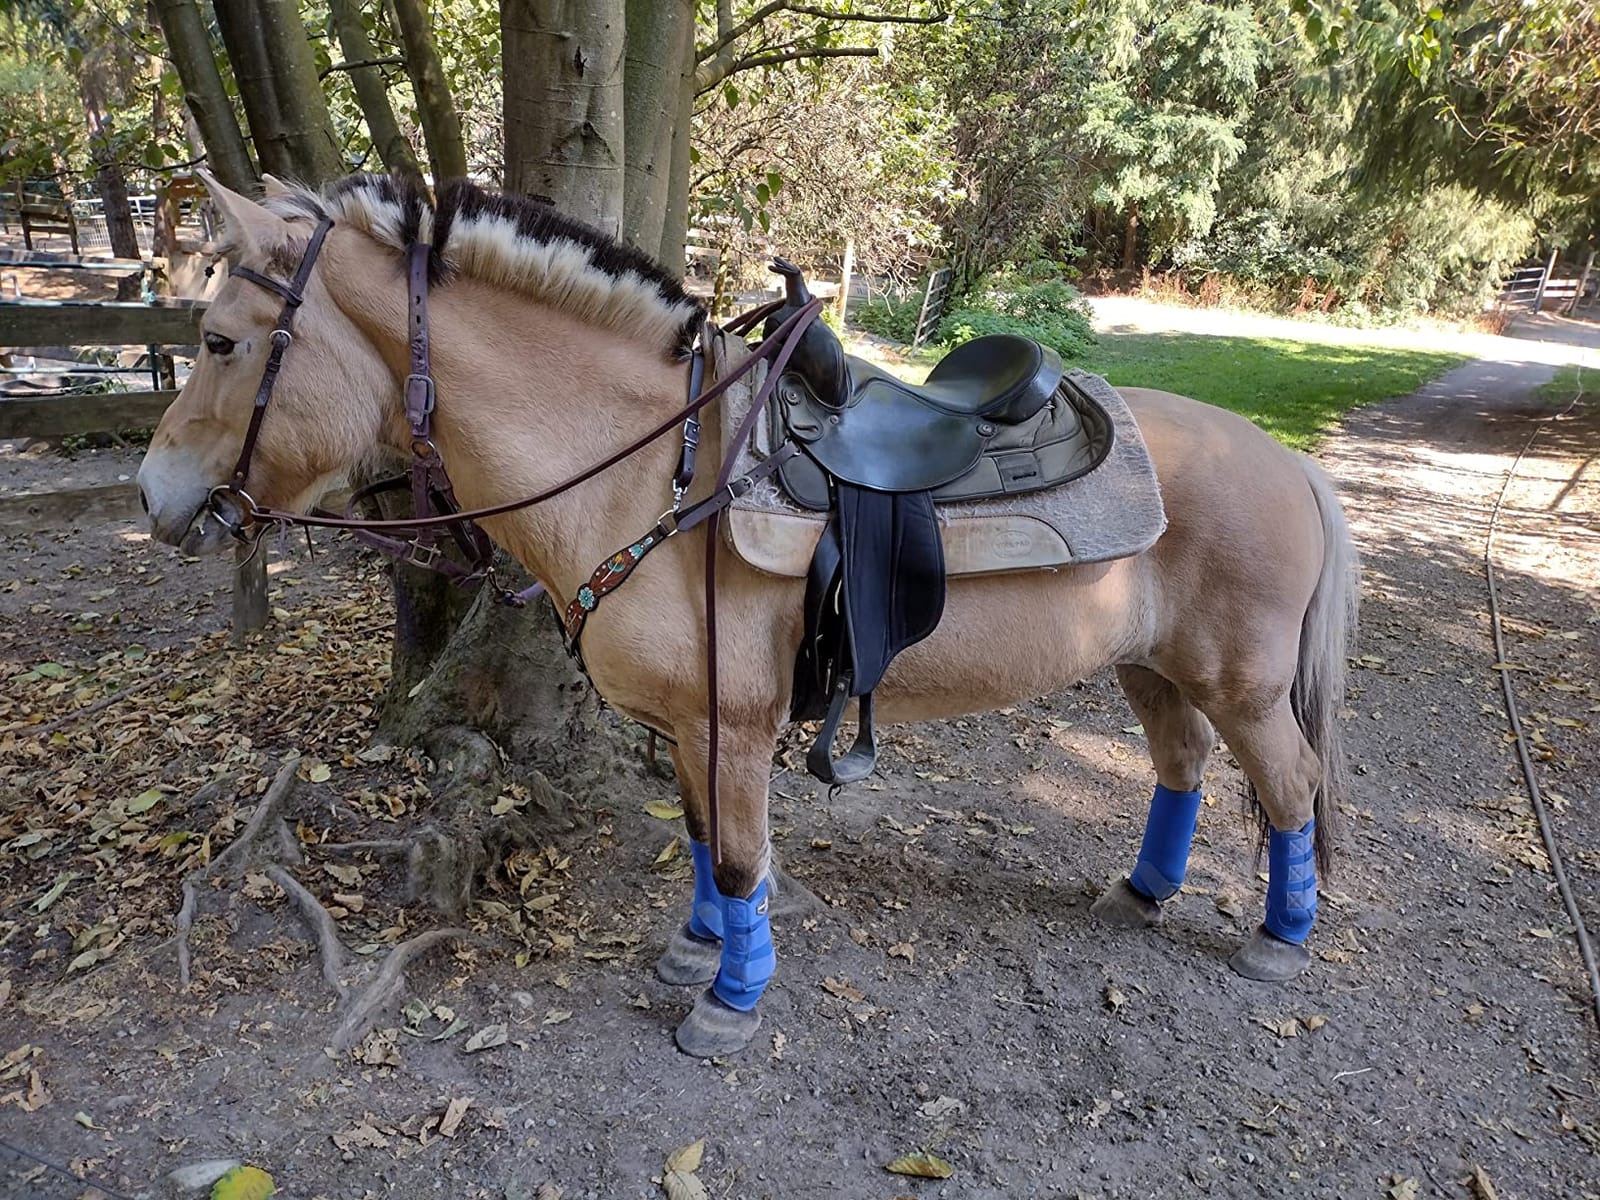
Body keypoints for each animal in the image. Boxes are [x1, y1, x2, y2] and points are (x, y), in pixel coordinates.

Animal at [137, 172, 1358, 1057]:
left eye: (219, 341)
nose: (154, 498)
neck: (654, 470)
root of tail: (1289, 465)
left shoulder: (732, 722)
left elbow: (736, 860)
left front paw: (727, 1004)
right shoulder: (687, 726)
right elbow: (694, 843)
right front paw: (694, 954)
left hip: (1243, 681)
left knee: (1289, 788)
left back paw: (1280, 940)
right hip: (1149, 664)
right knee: (1183, 764)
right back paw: (1143, 890)